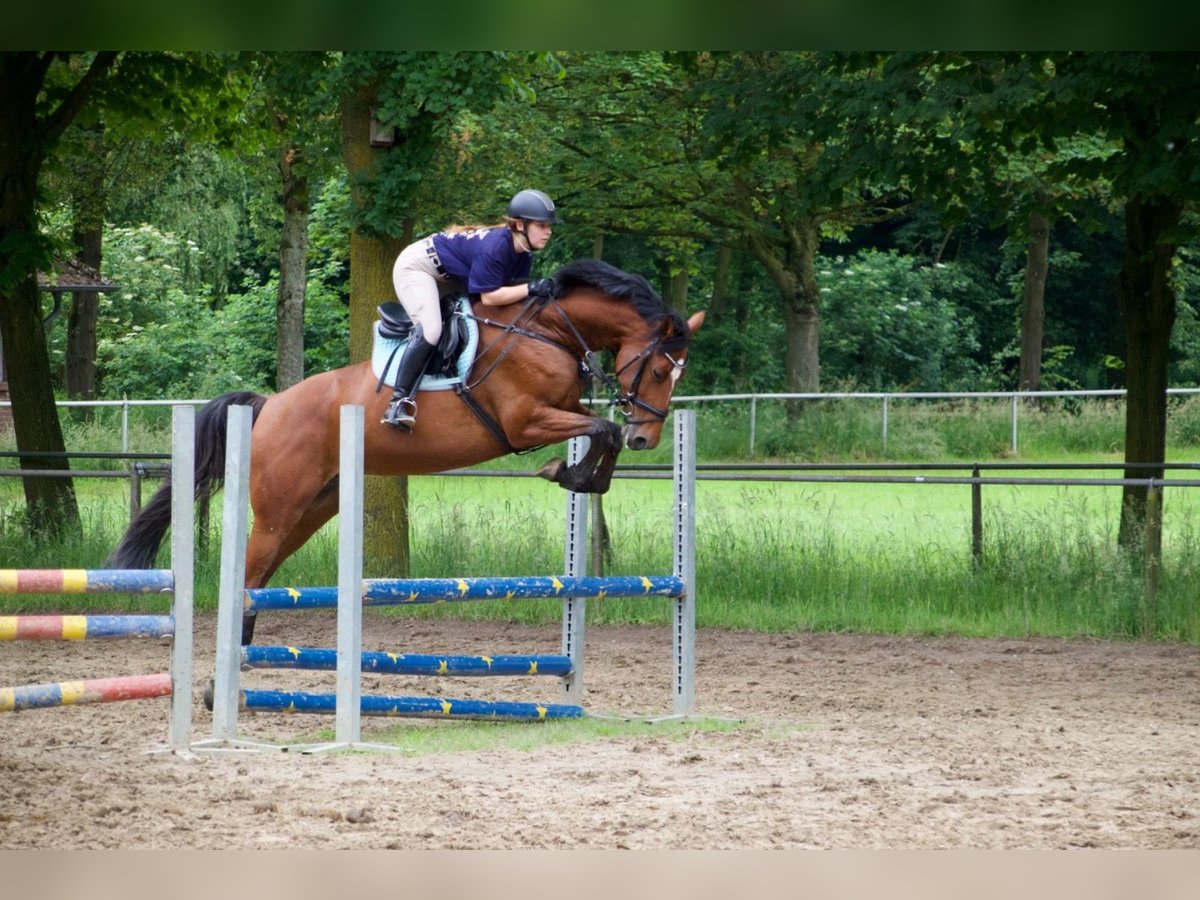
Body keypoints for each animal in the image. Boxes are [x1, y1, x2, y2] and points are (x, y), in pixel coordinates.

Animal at [110, 256, 700, 643]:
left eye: (678, 374)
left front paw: (579, 475)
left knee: (262, 576)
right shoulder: (524, 423)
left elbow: (600, 430)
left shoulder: (563, 406)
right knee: (250, 576)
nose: (648, 438)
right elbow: (601, 429)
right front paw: (567, 471)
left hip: (312, 509)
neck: (549, 330)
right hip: (279, 509)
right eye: (658, 369)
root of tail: (270, 404)